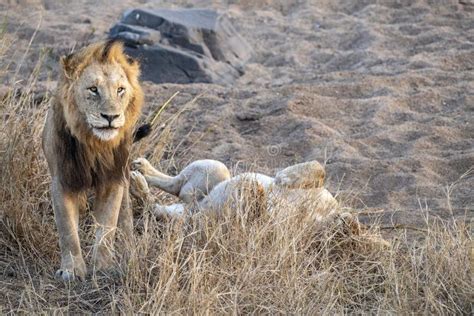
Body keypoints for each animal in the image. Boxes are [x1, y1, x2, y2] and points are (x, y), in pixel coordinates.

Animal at [42, 40, 143, 282]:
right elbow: (67, 229)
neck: (94, 145)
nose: (111, 117)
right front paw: (71, 271)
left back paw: (129, 250)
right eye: (93, 89)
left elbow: (107, 225)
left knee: (125, 215)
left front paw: (104, 267)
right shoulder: (62, 179)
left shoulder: (112, 180)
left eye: (120, 90)